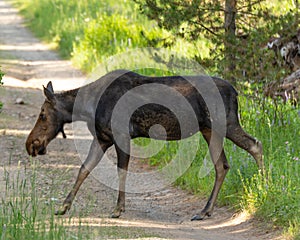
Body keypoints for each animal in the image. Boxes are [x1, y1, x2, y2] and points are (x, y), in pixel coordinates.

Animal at [25, 69, 262, 219]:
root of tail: (236, 92)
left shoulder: (121, 135)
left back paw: (263, 187)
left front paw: (118, 209)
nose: (30, 144)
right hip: (210, 130)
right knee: (222, 165)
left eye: (43, 114)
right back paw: (205, 211)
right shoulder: (102, 138)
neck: (87, 108)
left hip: (226, 124)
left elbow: (121, 171)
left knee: (254, 145)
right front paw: (63, 207)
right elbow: (84, 169)